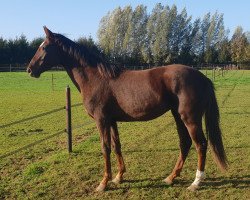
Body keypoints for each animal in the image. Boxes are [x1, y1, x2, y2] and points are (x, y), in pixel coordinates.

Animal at [27, 27, 229, 192]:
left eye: (44, 47)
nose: (30, 69)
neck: (96, 78)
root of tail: (202, 77)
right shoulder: (112, 121)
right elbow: (117, 146)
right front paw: (118, 177)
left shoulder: (102, 120)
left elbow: (105, 147)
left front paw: (103, 183)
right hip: (178, 116)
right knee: (185, 143)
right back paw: (171, 178)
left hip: (190, 119)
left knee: (200, 144)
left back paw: (196, 182)